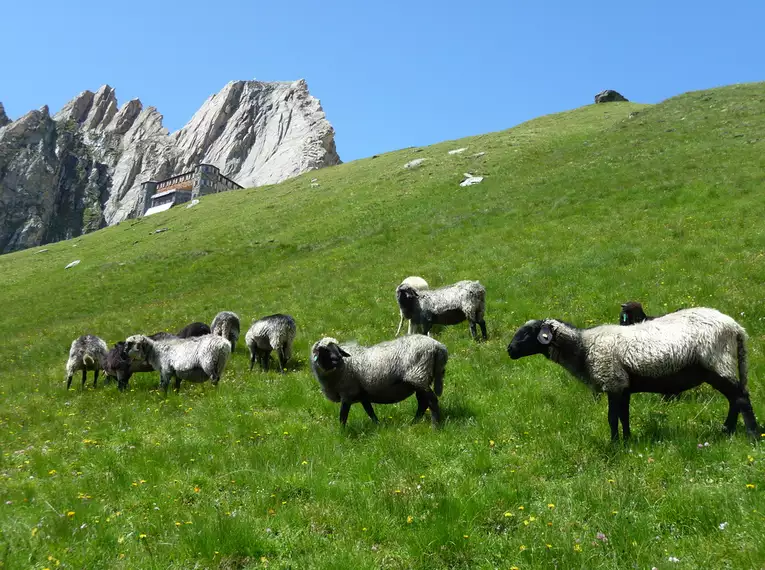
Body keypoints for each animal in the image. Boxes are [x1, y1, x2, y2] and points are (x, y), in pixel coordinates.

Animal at [308, 332, 444, 426]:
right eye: (324, 350)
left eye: (337, 348)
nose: (338, 359)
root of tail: (438, 346)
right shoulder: (361, 394)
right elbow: (370, 411)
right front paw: (378, 425)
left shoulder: (347, 392)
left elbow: (343, 416)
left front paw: (342, 433)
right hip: (420, 380)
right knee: (423, 403)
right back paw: (413, 422)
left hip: (419, 375)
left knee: (431, 400)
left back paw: (436, 425)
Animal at [508, 306, 760, 440]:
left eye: (529, 332)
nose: (509, 350)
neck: (583, 347)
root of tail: (736, 328)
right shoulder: (623, 386)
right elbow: (624, 416)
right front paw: (628, 440)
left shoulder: (612, 382)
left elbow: (612, 418)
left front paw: (614, 444)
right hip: (719, 368)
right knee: (735, 399)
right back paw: (727, 430)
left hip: (718, 363)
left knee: (740, 398)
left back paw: (753, 435)